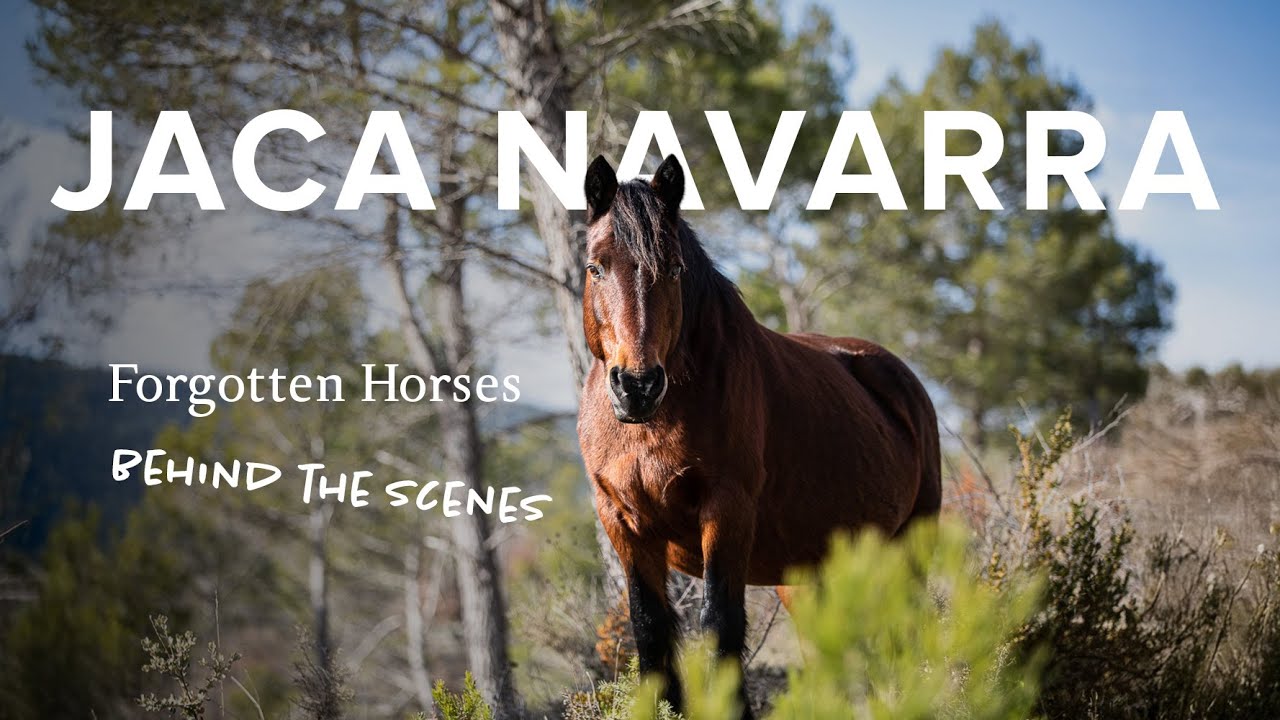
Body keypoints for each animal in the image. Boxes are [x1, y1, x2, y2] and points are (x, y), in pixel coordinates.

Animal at [576, 153, 942, 718]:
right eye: (596, 266)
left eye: (674, 269)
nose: (637, 386)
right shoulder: (624, 524)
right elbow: (651, 633)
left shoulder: (727, 510)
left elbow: (720, 626)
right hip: (808, 574)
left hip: (908, 548)